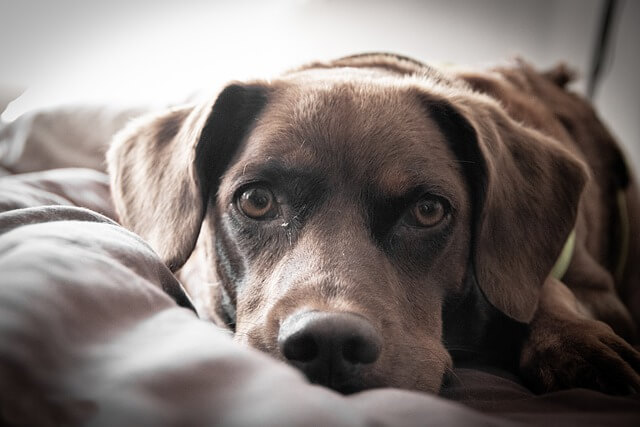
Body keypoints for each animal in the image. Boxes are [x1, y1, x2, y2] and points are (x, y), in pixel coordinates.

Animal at [107, 54, 636, 398]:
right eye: (256, 200)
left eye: (428, 210)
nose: (328, 342)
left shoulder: (596, 287)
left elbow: (543, 287)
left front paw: (571, 337)